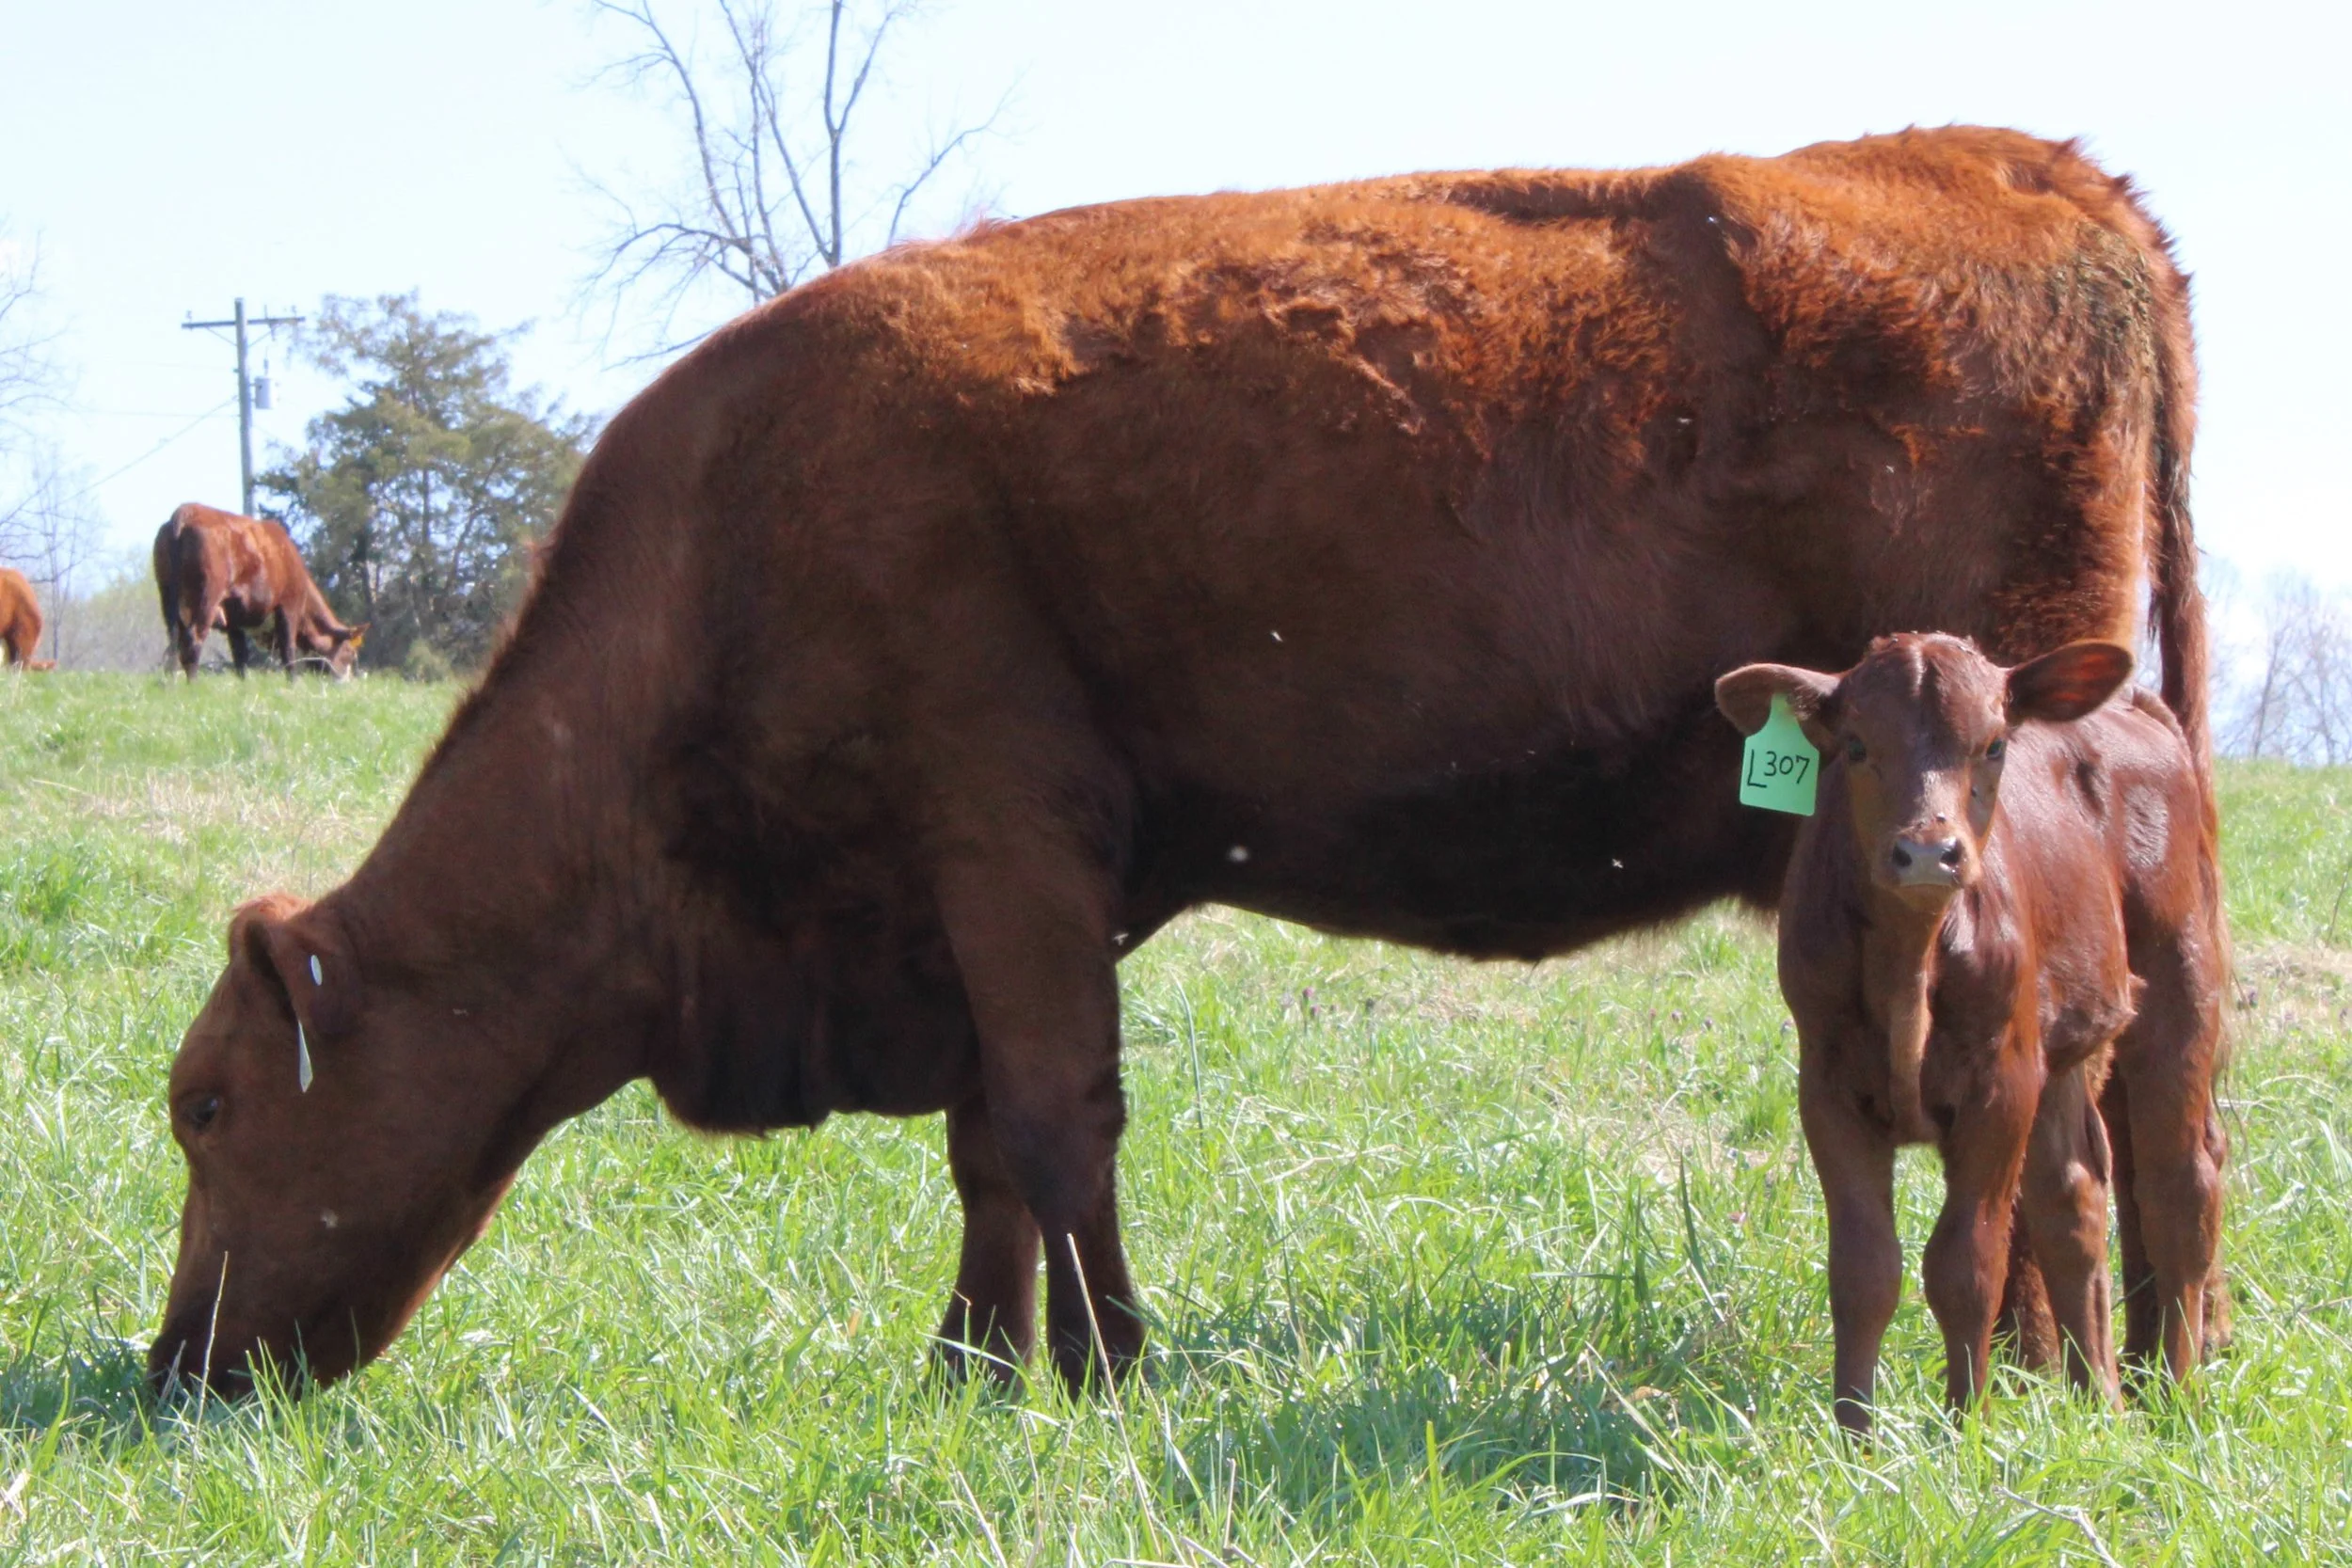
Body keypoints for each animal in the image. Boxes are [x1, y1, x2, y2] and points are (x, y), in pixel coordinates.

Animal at [153, 502, 366, 679]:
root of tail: (186, 511)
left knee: (174, 640)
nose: (346, 681)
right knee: (194, 637)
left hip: (167, 595)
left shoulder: (234, 621)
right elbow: (288, 650)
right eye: (349, 653)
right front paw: (294, 683)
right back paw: (193, 682)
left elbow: (240, 657)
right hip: (208, 595)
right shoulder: (289, 606)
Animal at [1716, 635, 2224, 1433]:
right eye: (1855, 744)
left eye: (1993, 744)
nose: (1929, 851)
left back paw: (2176, 1395)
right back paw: (2099, 1399)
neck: (1910, 960)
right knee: (2073, 1201)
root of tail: (2140, 709)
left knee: (2180, 1186)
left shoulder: (2000, 1084)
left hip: (2182, 978)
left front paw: (1966, 1425)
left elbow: (1966, 1262)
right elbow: (1864, 1267)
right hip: (2062, 1047)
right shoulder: (1827, 1087)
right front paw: (1854, 1435)